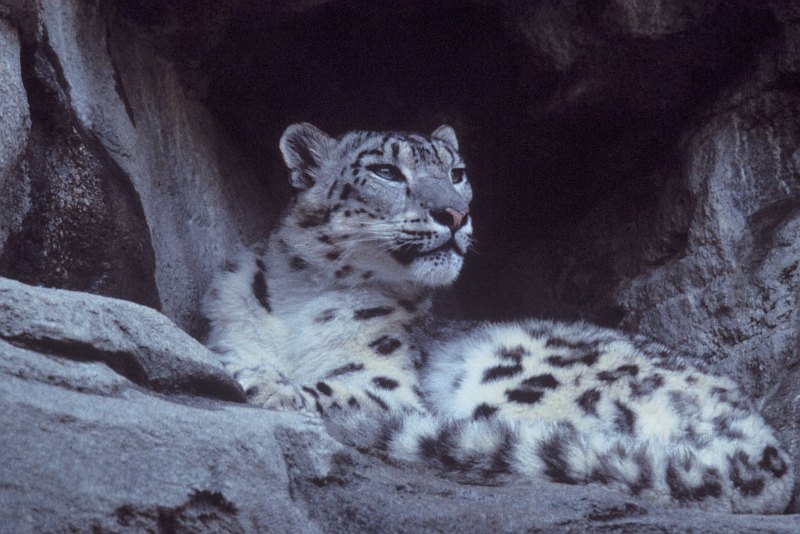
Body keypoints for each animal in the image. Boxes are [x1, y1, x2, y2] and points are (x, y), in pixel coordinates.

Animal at [202, 122, 794, 514]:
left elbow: (331, 387)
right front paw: (253, 372)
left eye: (458, 172)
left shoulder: (385, 384)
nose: (455, 213)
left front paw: (262, 383)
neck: (299, 296)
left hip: (512, 373)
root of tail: (767, 444)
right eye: (386, 171)